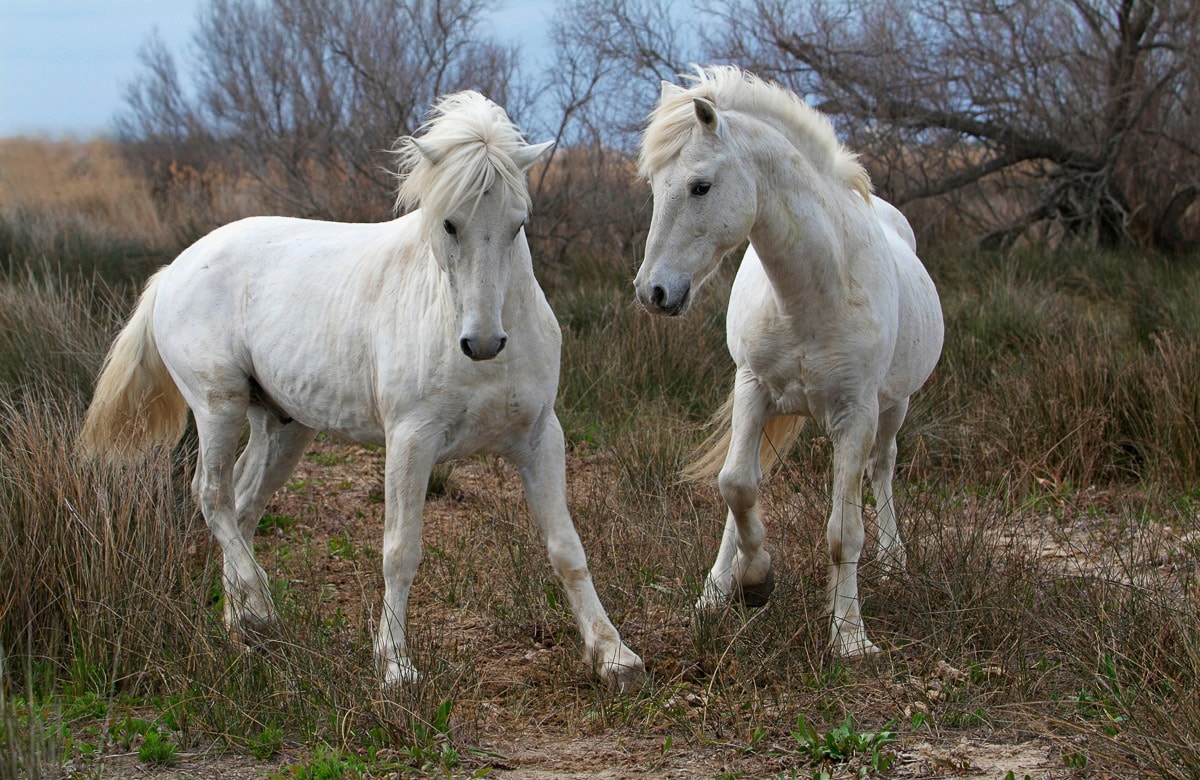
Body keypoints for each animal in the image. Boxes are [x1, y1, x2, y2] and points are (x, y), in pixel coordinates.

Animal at [78, 90, 644, 690]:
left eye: (518, 225)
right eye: (449, 224)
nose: (484, 343)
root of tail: (176, 268)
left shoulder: (540, 438)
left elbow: (566, 548)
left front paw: (613, 655)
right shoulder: (411, 441)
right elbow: (401, 551)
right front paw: (395, 664)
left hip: (283, 427)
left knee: (244, 503)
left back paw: (243, 629)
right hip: (218, 408)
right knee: (211, 497)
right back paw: (261, 609)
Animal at [634, 66, 943, 656]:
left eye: (700, 185)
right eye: (655, 189)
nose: (652, 293)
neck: (814, 292)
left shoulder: (856, 416)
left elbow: (844, 532)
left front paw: (849, 636)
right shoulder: (753, 388)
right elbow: (736, 486)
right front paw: (753, 582)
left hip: (895, 405)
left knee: (883, 467)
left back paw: (894, 561)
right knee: (739, 489)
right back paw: (715, 593)